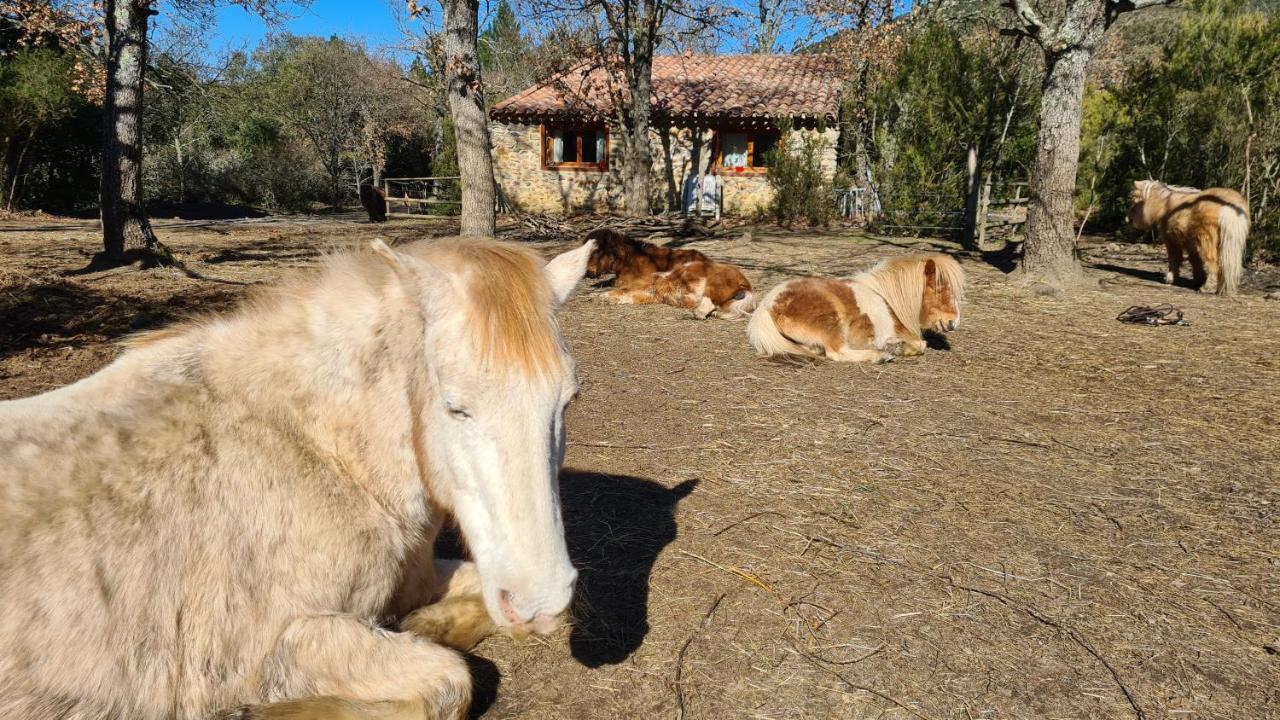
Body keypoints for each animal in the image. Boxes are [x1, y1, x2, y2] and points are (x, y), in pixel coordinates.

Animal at [0, 237, 591, 717]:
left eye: (567, 401)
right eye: (456, 407)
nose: (541, 601)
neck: (318, 449)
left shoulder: (417, 581)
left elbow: (464, 600)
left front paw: (425, 625)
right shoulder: (273, 648)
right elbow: (449, 682)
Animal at [604, 256, 752, 315]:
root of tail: (746, 284)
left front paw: (604, 296)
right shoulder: (651, 294)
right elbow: (630, 295)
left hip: (715, 283)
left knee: (709, 302)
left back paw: (697, 312)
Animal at [747, 253, 962, 363]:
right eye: (941, 288)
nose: (954, 322)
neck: (886, 299)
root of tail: (767, 304)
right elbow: (920, 344)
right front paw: (898, 347)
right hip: (831, 323)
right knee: (837, 352)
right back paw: (881, 356)